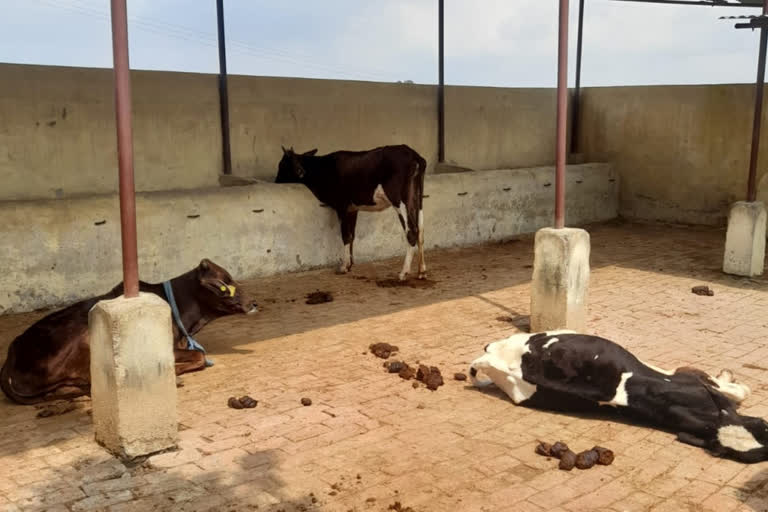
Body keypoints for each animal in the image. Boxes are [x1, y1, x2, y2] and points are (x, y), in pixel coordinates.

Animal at [276, 143, 428, 280]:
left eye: (282, 165)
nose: (276, 181)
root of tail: (413, 154)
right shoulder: (353, 209)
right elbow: (352, 235)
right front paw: (350, 264)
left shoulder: (341, 206)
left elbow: (345, 235)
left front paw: (344, 266)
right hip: (417, 199)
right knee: (420, 231)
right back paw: (421, 271)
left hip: (399, 199)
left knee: (411, 231)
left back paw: (404, 272)